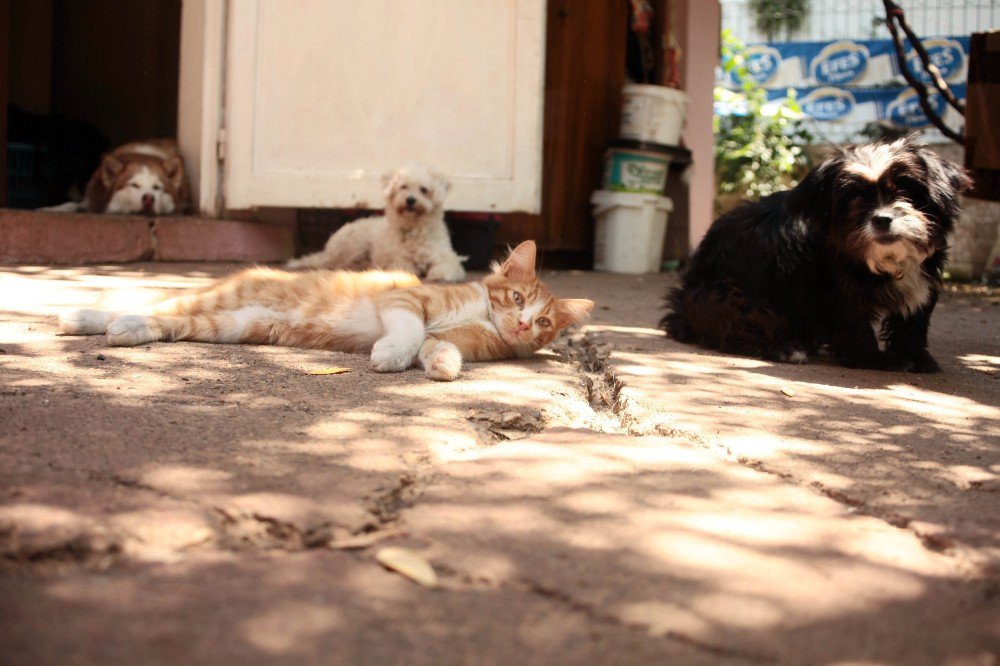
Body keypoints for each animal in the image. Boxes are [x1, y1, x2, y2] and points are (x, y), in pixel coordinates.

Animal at [58, 241, 592, 382]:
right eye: (518, 299)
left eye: (544, 322)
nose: (522, 323)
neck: (481, 314)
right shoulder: (405, 300)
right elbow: (411, 330)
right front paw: (392, 354)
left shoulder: (462, 340)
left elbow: (438, 345)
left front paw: (440, 364)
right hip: (218, 302)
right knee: (146, 301)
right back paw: (80, 316)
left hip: (232, 325)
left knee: (160, 321)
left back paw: (120, 330)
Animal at [286, 166, 464, 282]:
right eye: (403, 186)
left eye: (424, 189)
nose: (410, 200)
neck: (414, 229)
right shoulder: (400, 261)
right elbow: (407, 267)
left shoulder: (446, 256)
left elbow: (448, 265)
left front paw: (440, 274)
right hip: (354, 246)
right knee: (336, 263)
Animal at [664, 137, 968, 370]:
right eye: (854, 197)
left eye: (906, 190)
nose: (882, 219)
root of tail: (683, 307)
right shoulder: (836, 290)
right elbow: (855, 322)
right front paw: (872, 360)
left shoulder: (923, 282)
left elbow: (913, 322)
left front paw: (917, 359)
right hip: (734, 296)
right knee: (739, 329)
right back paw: (784, 348)